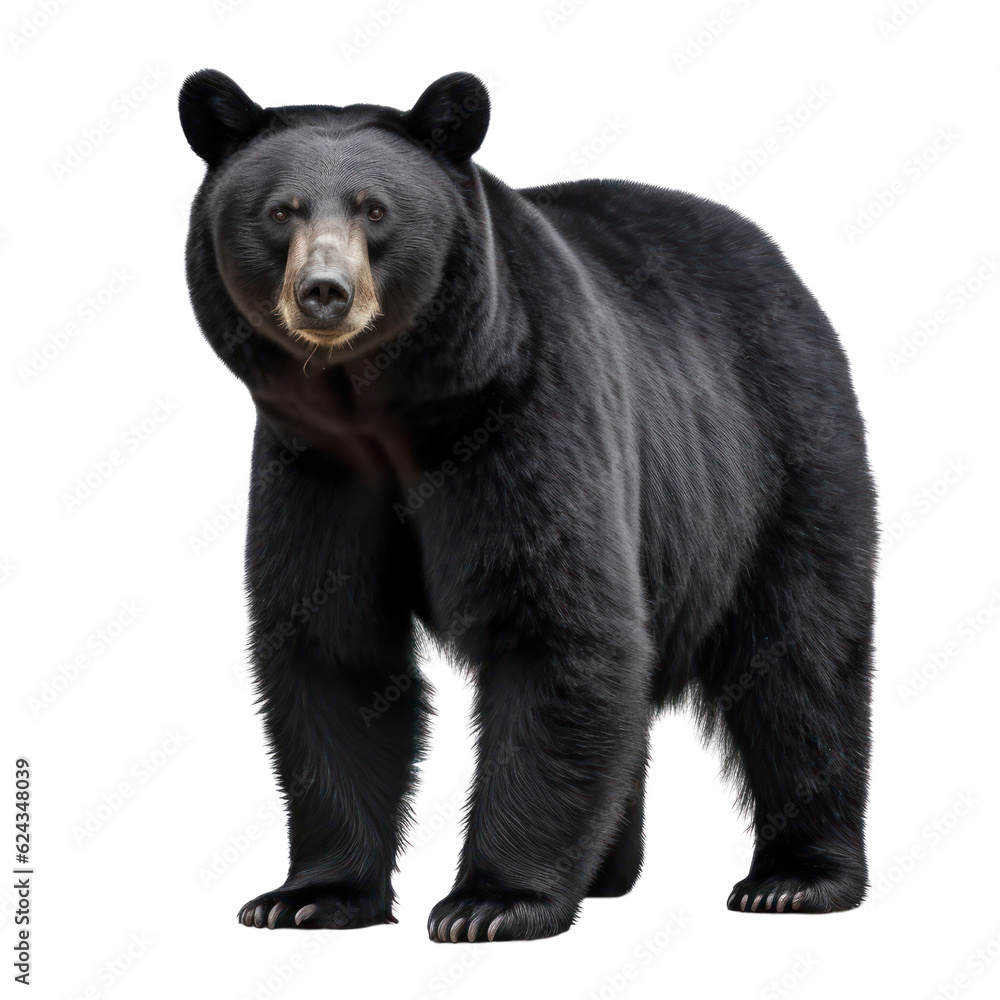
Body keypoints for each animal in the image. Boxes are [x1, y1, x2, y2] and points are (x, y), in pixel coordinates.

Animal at [179, 69, 877, 942]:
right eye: (280, 211)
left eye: (376, 209)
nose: (324, 294)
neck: (385, 409)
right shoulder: (314, 464)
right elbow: (332, 645)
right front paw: (307, 894)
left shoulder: (525, 412)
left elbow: (554, 623)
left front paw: (491, 901)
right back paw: (609, 867)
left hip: (780, 464)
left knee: (801, 659)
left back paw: (796, 878)